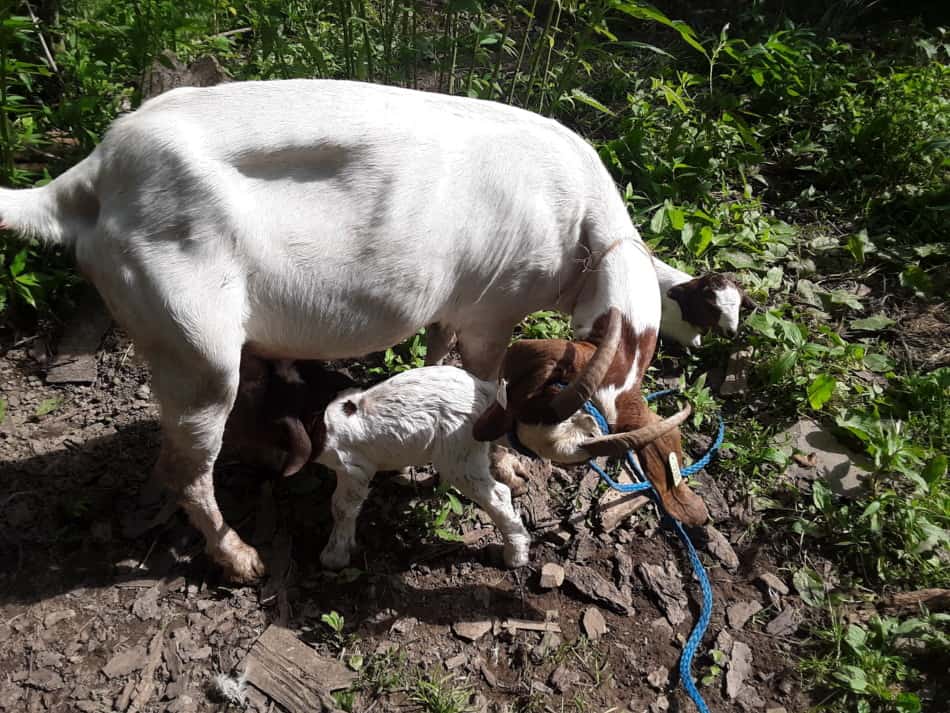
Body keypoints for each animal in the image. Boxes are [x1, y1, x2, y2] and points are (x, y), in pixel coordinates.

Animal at [0, 79, 712, 580]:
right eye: (561, 408)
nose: (559, 451)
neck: (580, 223)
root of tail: (91, 178)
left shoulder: (453, 307)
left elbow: (439, 351)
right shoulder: (494, 313)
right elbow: (484, 381)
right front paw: (505, 464)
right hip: (196, 346)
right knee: (191, 465)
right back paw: (237, 557)